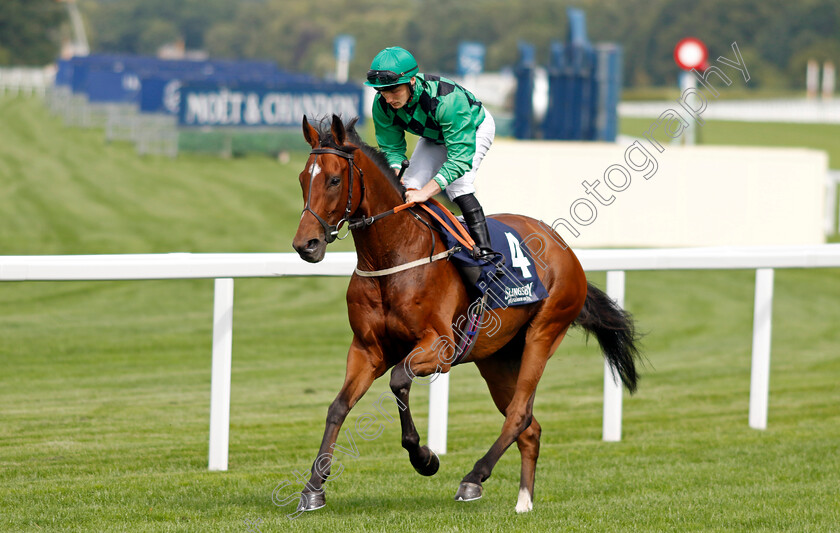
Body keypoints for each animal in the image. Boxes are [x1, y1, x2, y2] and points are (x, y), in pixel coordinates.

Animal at [292, 114, 640, 512]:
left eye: (334, 179)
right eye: (303, 178)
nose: (306, 245)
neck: (393, 256)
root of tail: (563, 248)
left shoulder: (440, 347)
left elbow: (398, 381)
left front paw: (425, 459)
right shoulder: (367, 349)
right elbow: (338, 406)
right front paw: (313, 487)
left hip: (544, 332)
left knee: (519, 415)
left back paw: (473, 478)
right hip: (496, 358)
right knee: (530, 427)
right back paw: (523, 501)